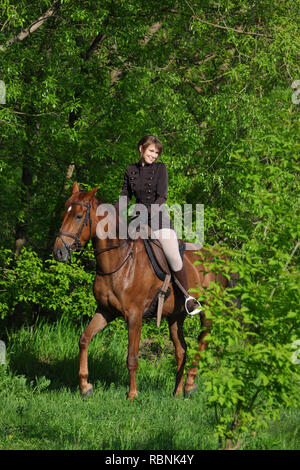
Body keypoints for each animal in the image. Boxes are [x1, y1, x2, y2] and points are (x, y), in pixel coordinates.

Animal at [53, 184, 227, 400]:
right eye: (63, 214)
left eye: (78, 216)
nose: (58, 252)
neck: (121, 261)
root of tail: (217, 257)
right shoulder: (105, 311)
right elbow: (84, 339)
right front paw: (85, 386)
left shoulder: (135, 316)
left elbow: (132, 357)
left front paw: (132, 395)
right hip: (175, 317)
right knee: (182, 350)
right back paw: (177, 392)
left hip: (207, 313)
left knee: (201, 344)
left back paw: (189, 386)